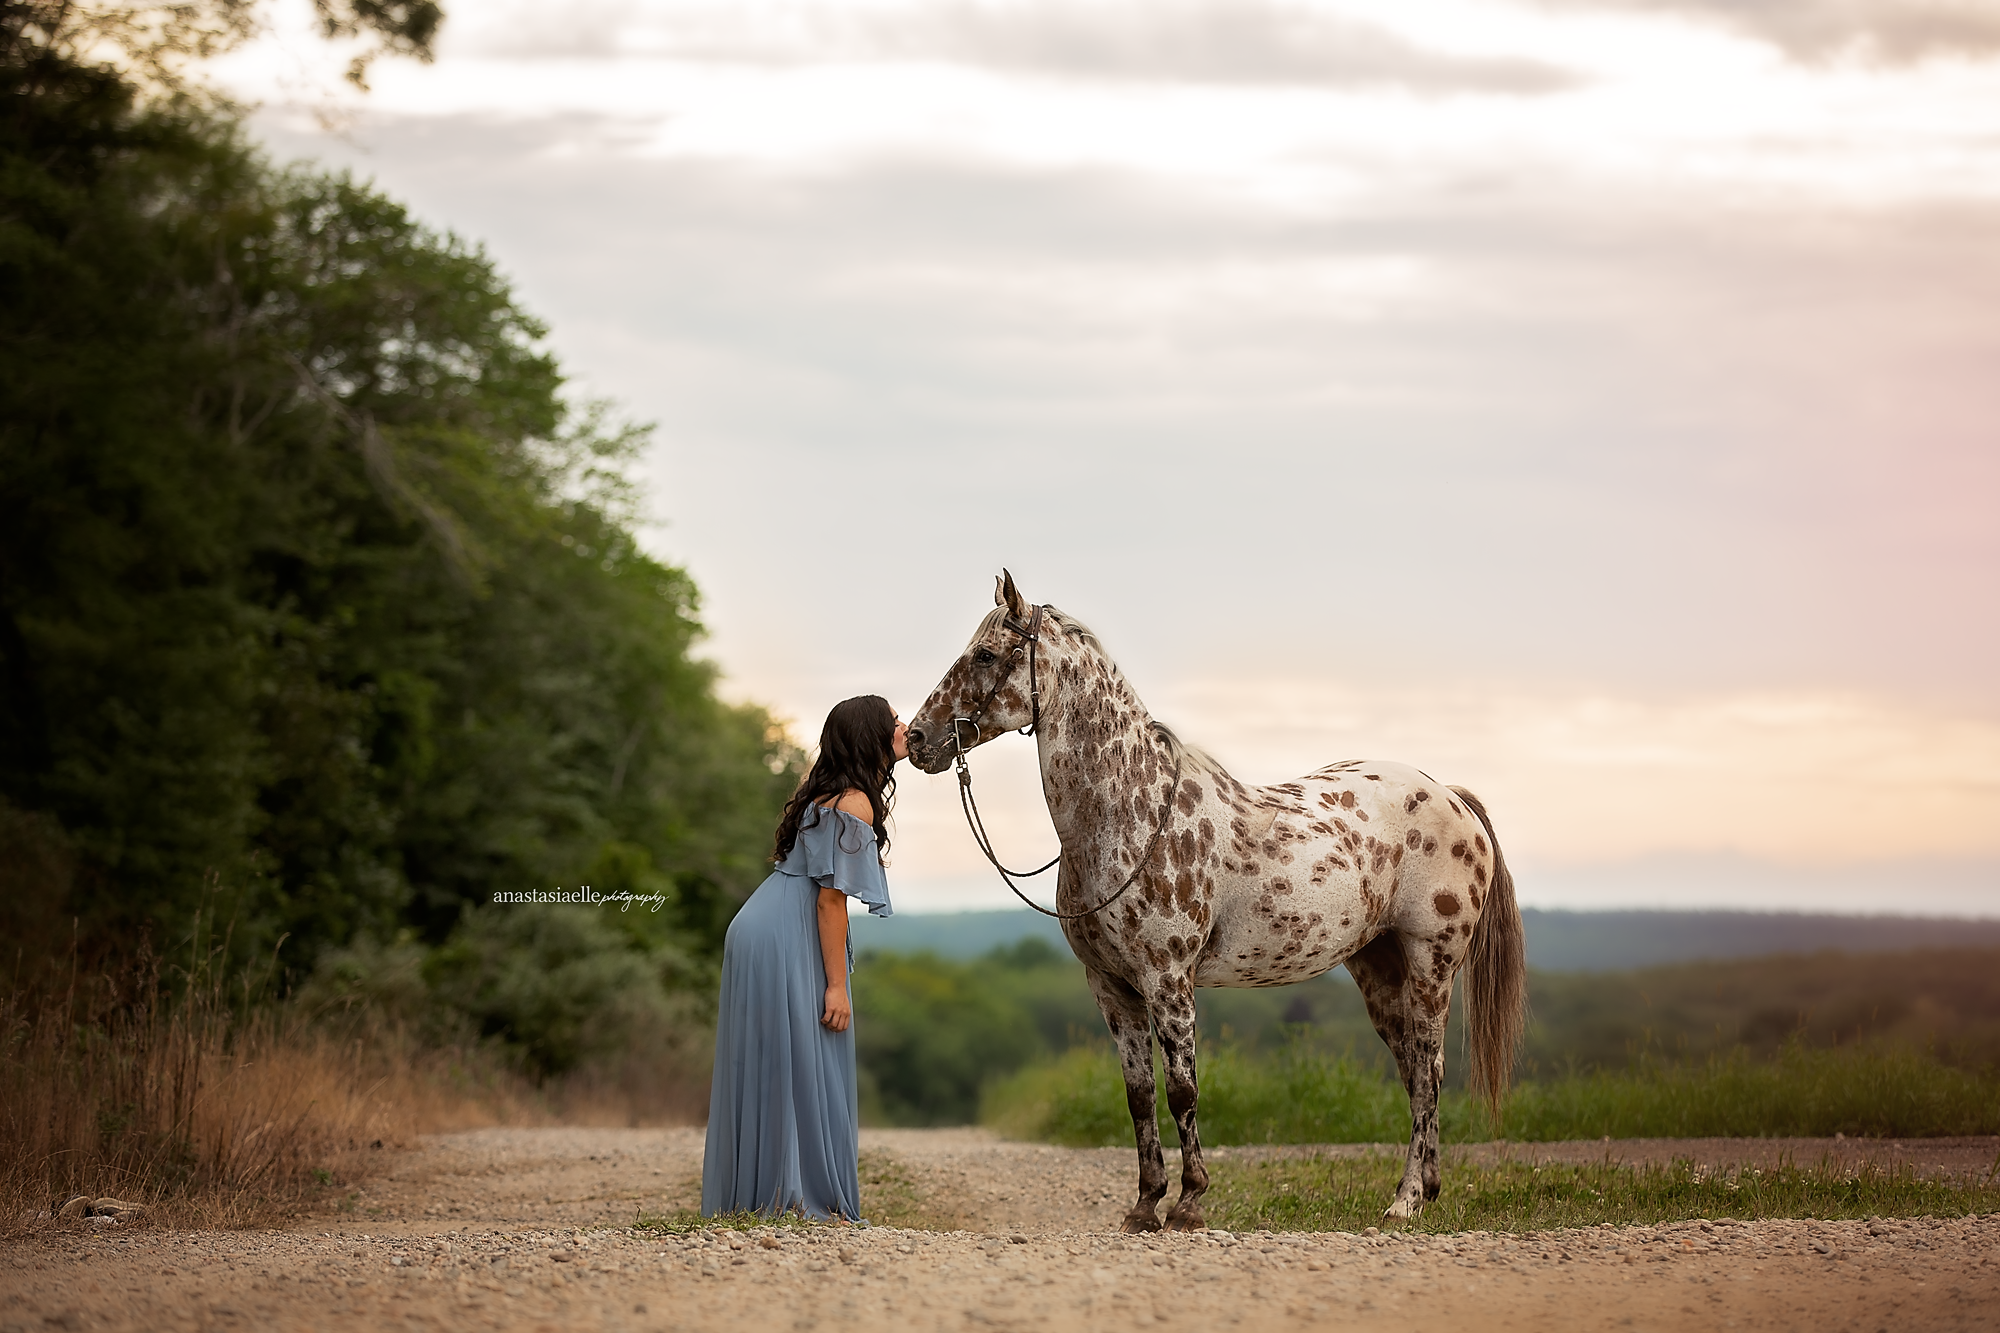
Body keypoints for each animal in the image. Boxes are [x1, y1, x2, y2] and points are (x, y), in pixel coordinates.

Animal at [906, 572, 1527, 1230]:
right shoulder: (1112, 988)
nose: (916, 739)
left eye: (985, 655)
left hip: (1431, 966)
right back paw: (1425, 1191)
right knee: (1414, 1071)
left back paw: (1404, 1203)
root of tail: (1451, 795)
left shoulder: (1168, 980)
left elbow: (1184, 1090)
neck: (1129, 815)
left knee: (1430, 1073)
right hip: (1378, 968)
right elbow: (1139, 1096)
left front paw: (1189, 1201)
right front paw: (1144, 1204)